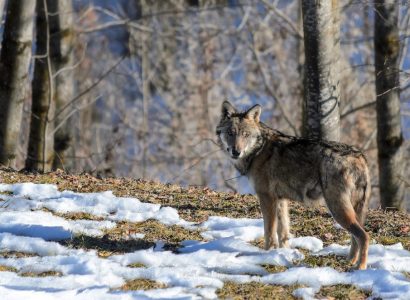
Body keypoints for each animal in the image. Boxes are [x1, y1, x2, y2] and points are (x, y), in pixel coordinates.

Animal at [218, 100, 372, 270]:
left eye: (245, 134)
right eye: (230, 133)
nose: (236, 151)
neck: (259, 150)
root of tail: (359, 156)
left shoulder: (267, 198)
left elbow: (269, 232)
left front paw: (267, 254)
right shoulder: (280, 200)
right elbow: (283, 232)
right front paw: (283, 254)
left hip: (338, 209)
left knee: (364, 236)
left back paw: (360, 267)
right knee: (356, 237)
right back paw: (350, 261)